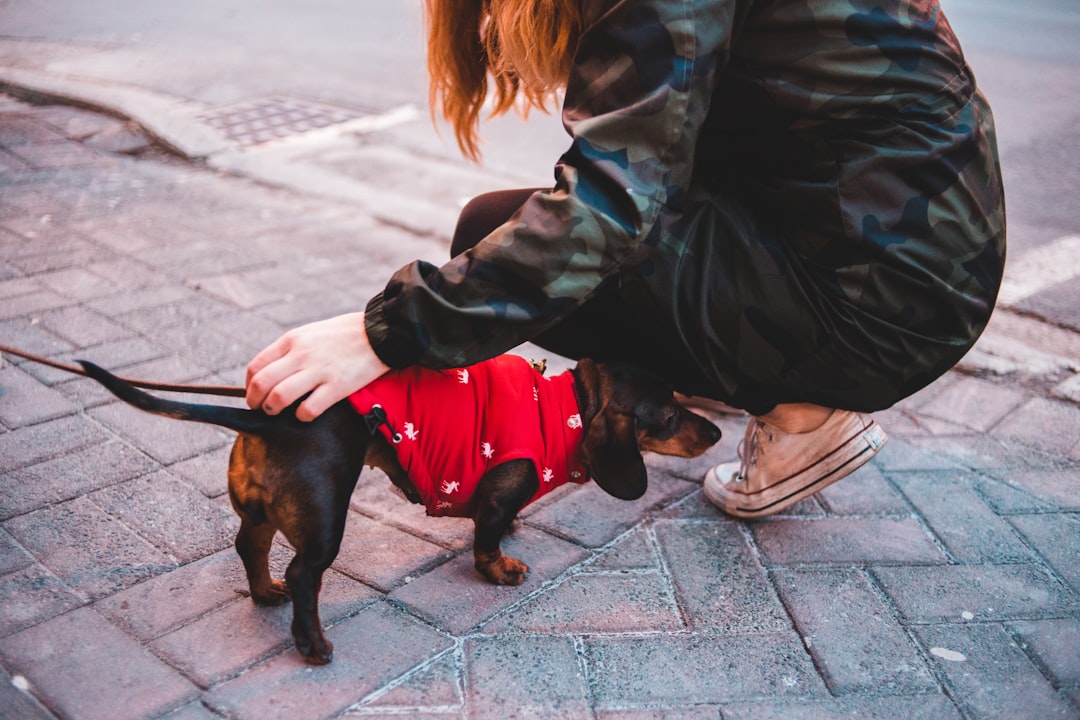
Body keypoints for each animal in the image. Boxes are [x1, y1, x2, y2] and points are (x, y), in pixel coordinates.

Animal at [79, 354, 721, 664]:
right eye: (669, 416)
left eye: (681, 400)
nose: (717, 432)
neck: (560, 411)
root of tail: (265, 417)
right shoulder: (499, 490)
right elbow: (487, 537)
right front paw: (501, 568)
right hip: (326, 518)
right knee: (304, 574)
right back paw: (312, 644)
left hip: (259, 512)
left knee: (250, 547)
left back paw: (264, 593)